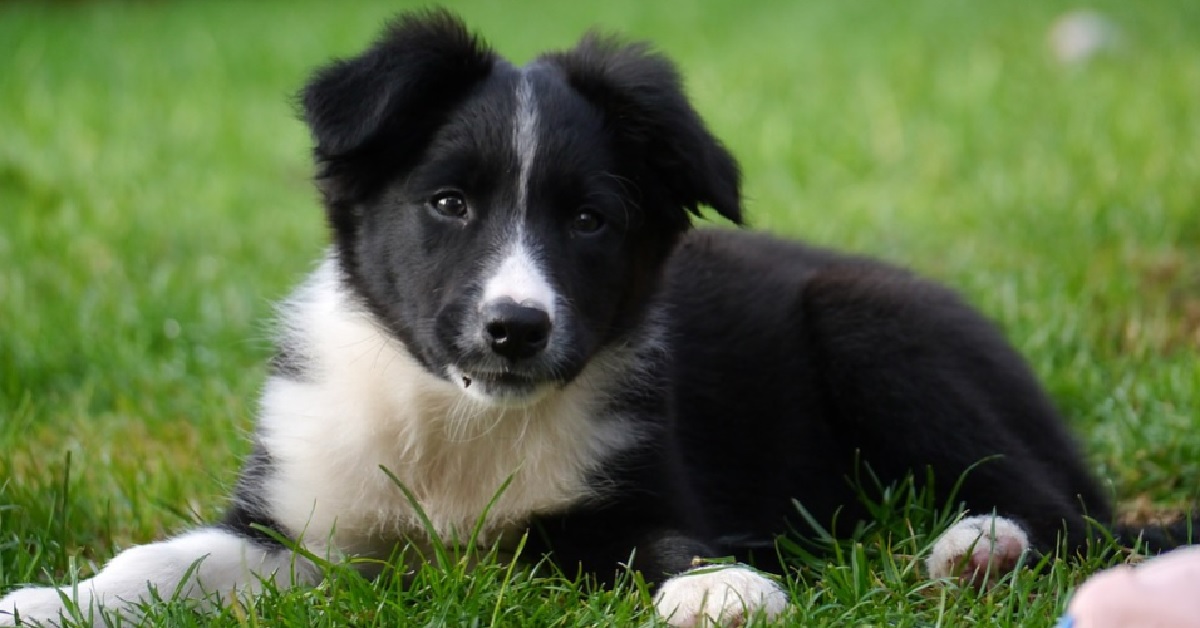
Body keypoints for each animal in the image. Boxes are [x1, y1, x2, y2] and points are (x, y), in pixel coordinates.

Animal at [4, 9, 1195, 628]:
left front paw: (722, 588)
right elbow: (162, 561)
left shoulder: (624, 499)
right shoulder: (308, 531)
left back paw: (973, 550)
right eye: (449, 203)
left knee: (1065, 517)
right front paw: (51, 597)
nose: (516, 330)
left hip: (878, 332)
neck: (458, 427)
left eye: (589, 219)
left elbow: (661, 539)